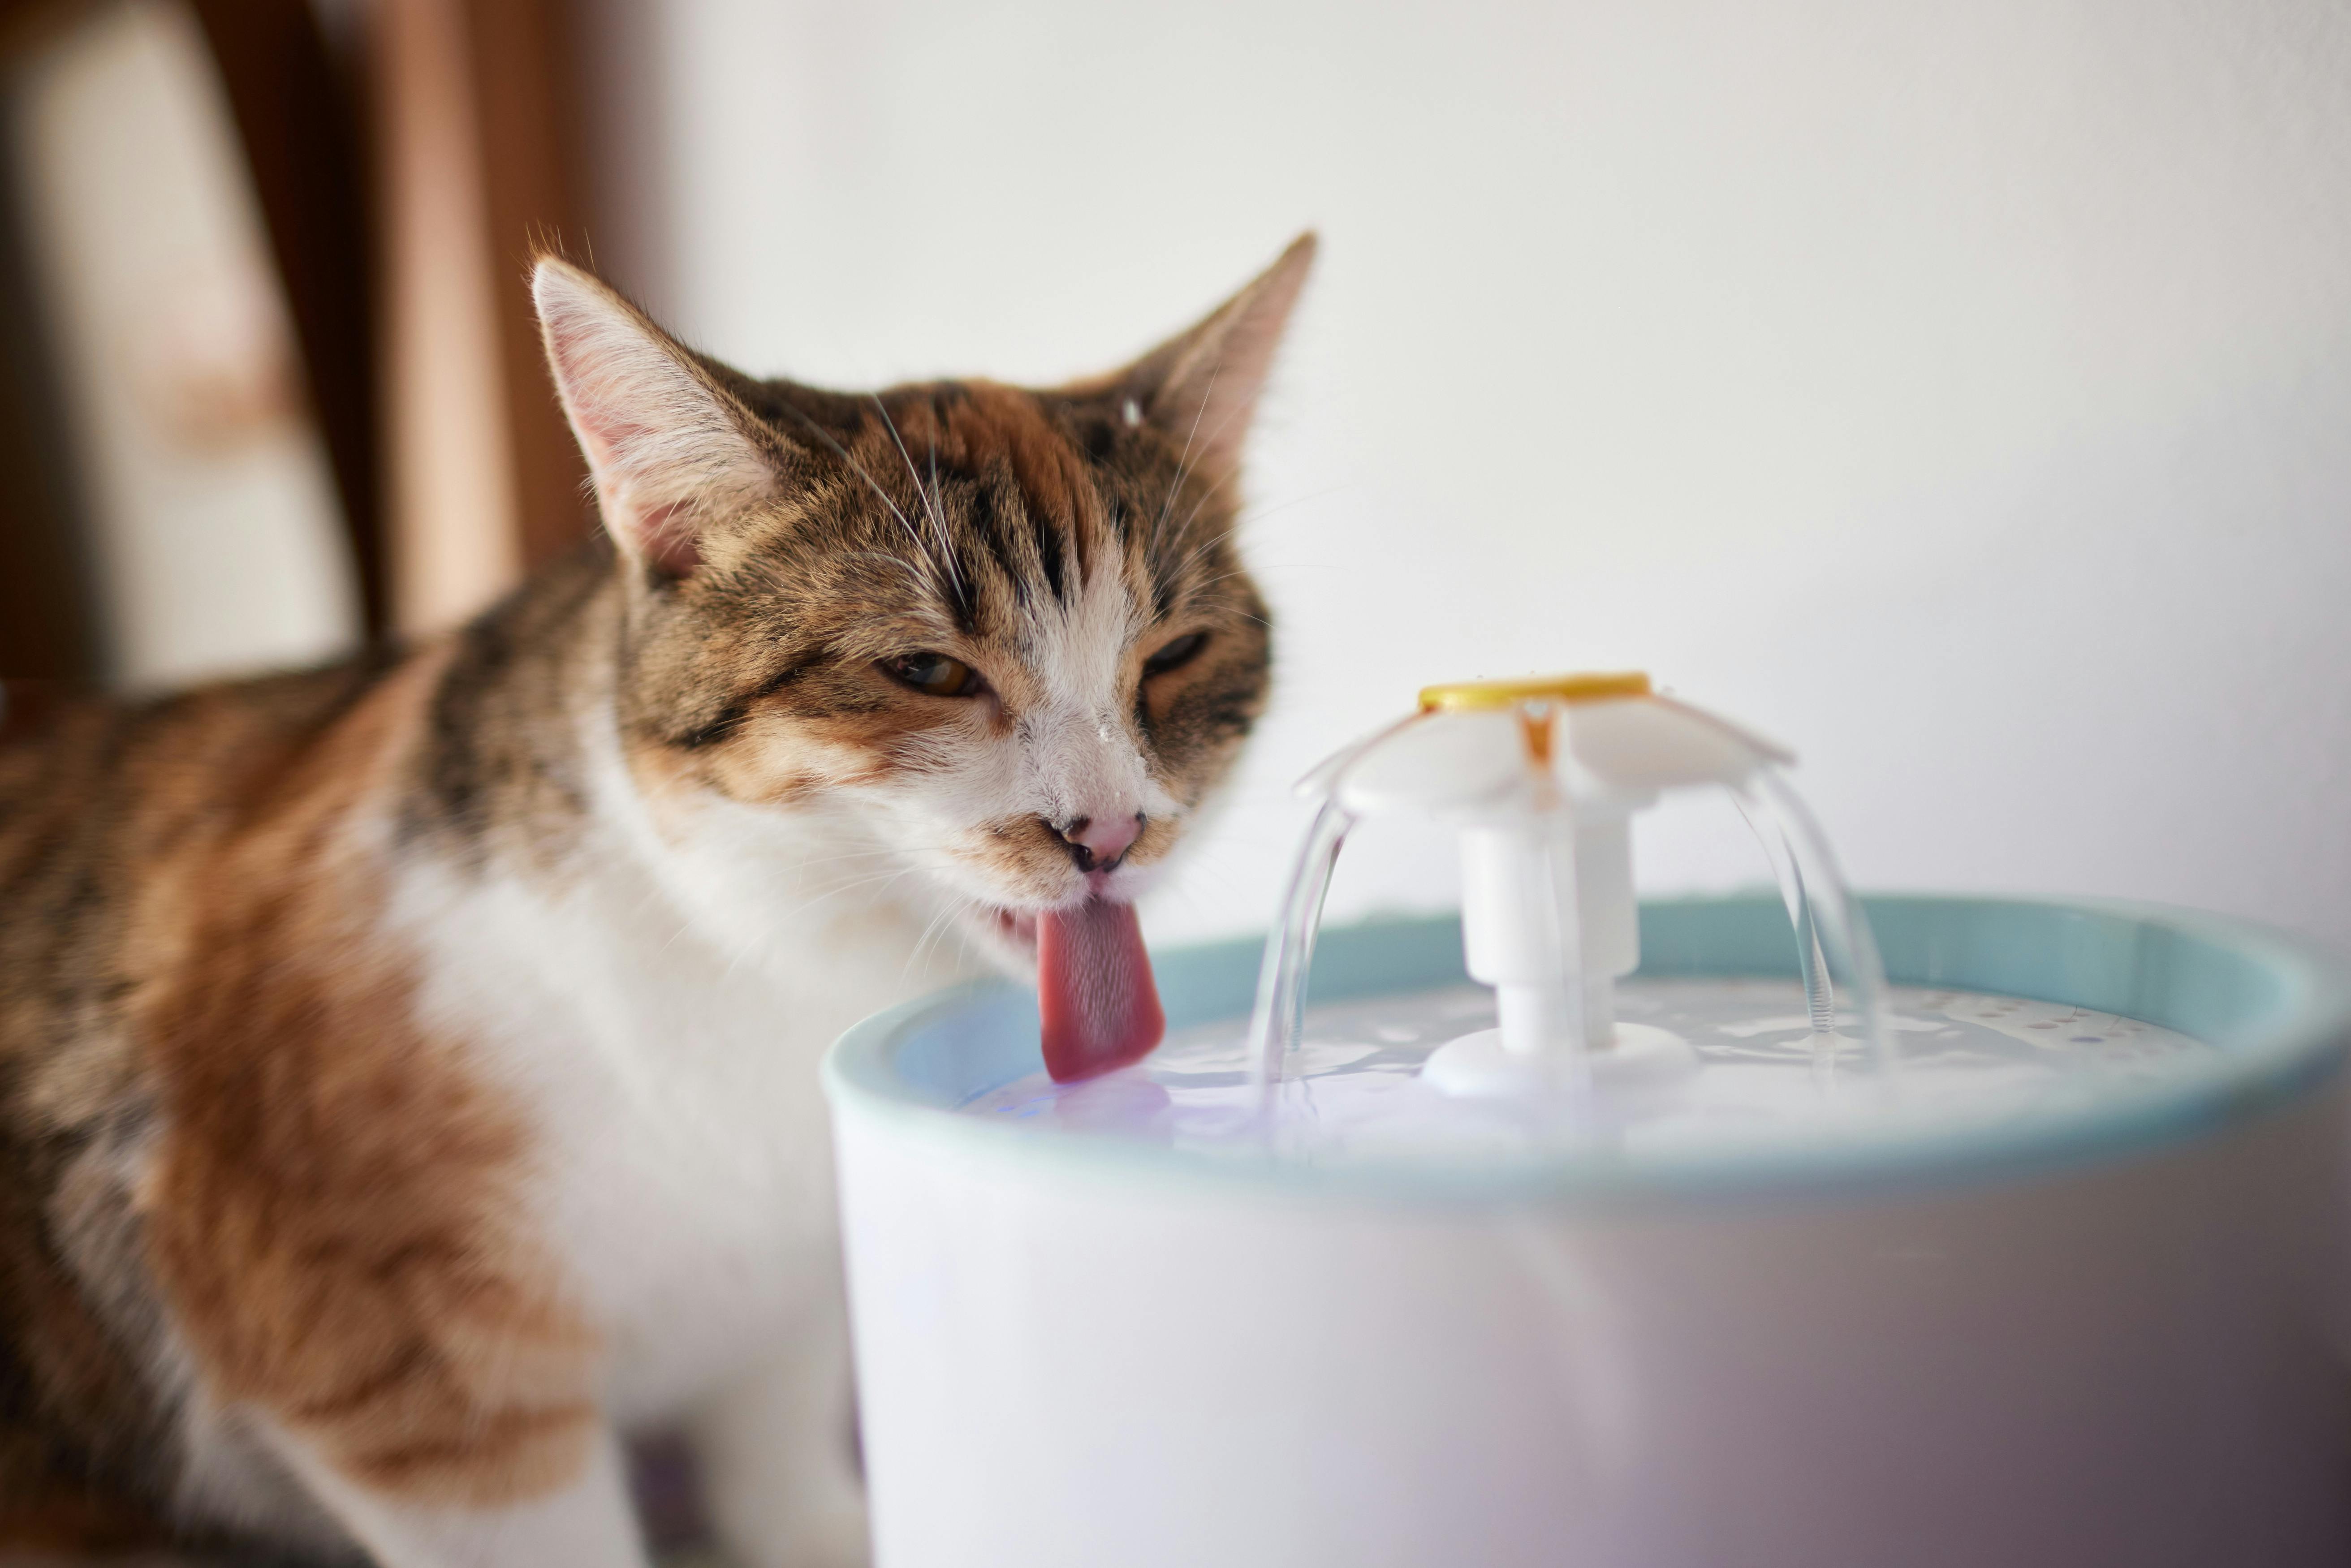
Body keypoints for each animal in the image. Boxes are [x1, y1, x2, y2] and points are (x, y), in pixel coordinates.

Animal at [0, 233, 1307, 1568]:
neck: (765, 962)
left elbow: (777, 1463)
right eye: (927, 669)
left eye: (1174, 655)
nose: (1110, 833)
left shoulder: (777, 1307)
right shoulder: (403, 1382)